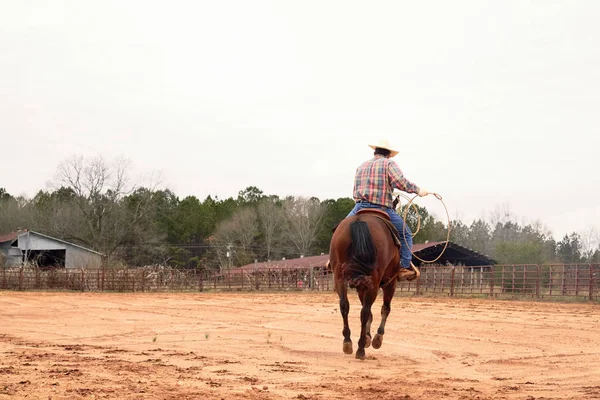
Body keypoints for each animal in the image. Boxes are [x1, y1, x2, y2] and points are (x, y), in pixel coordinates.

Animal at [328, 209, 404, 360]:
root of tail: (360, 221)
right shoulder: (391, 283)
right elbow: (385, 309)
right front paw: (376, 338)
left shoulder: (361, 287)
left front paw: (369, 337)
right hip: (374, 281)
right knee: (366, 311)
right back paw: (361, 348)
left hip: (340, 277)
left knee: (345, 306)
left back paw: (348, 342)